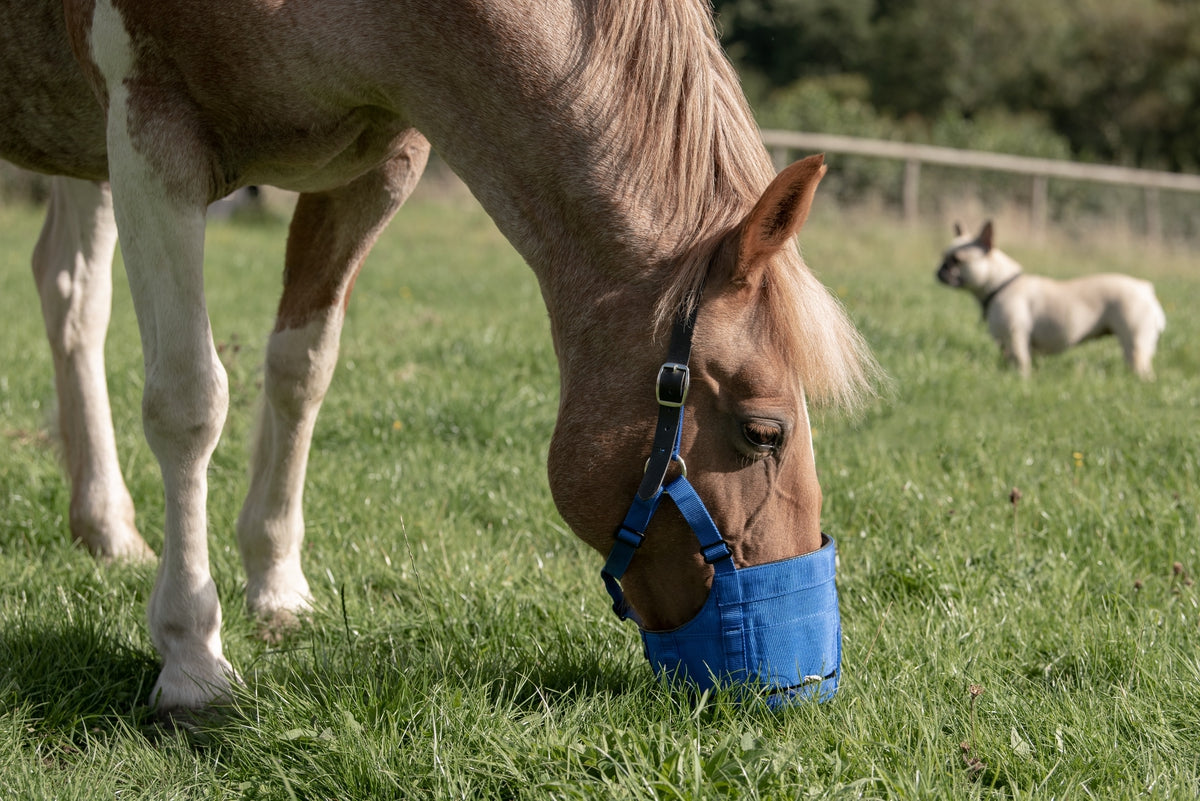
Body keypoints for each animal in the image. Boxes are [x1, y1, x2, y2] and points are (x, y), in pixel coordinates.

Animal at [1, 0, 876, 716]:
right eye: (762, 431)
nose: (802, 681)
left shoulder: (374, 171)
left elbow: (301, 369)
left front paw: (277, 581)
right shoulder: (152, 136)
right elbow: (188, 402)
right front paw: (191, 657)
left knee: (70, 291)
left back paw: (106, 524)